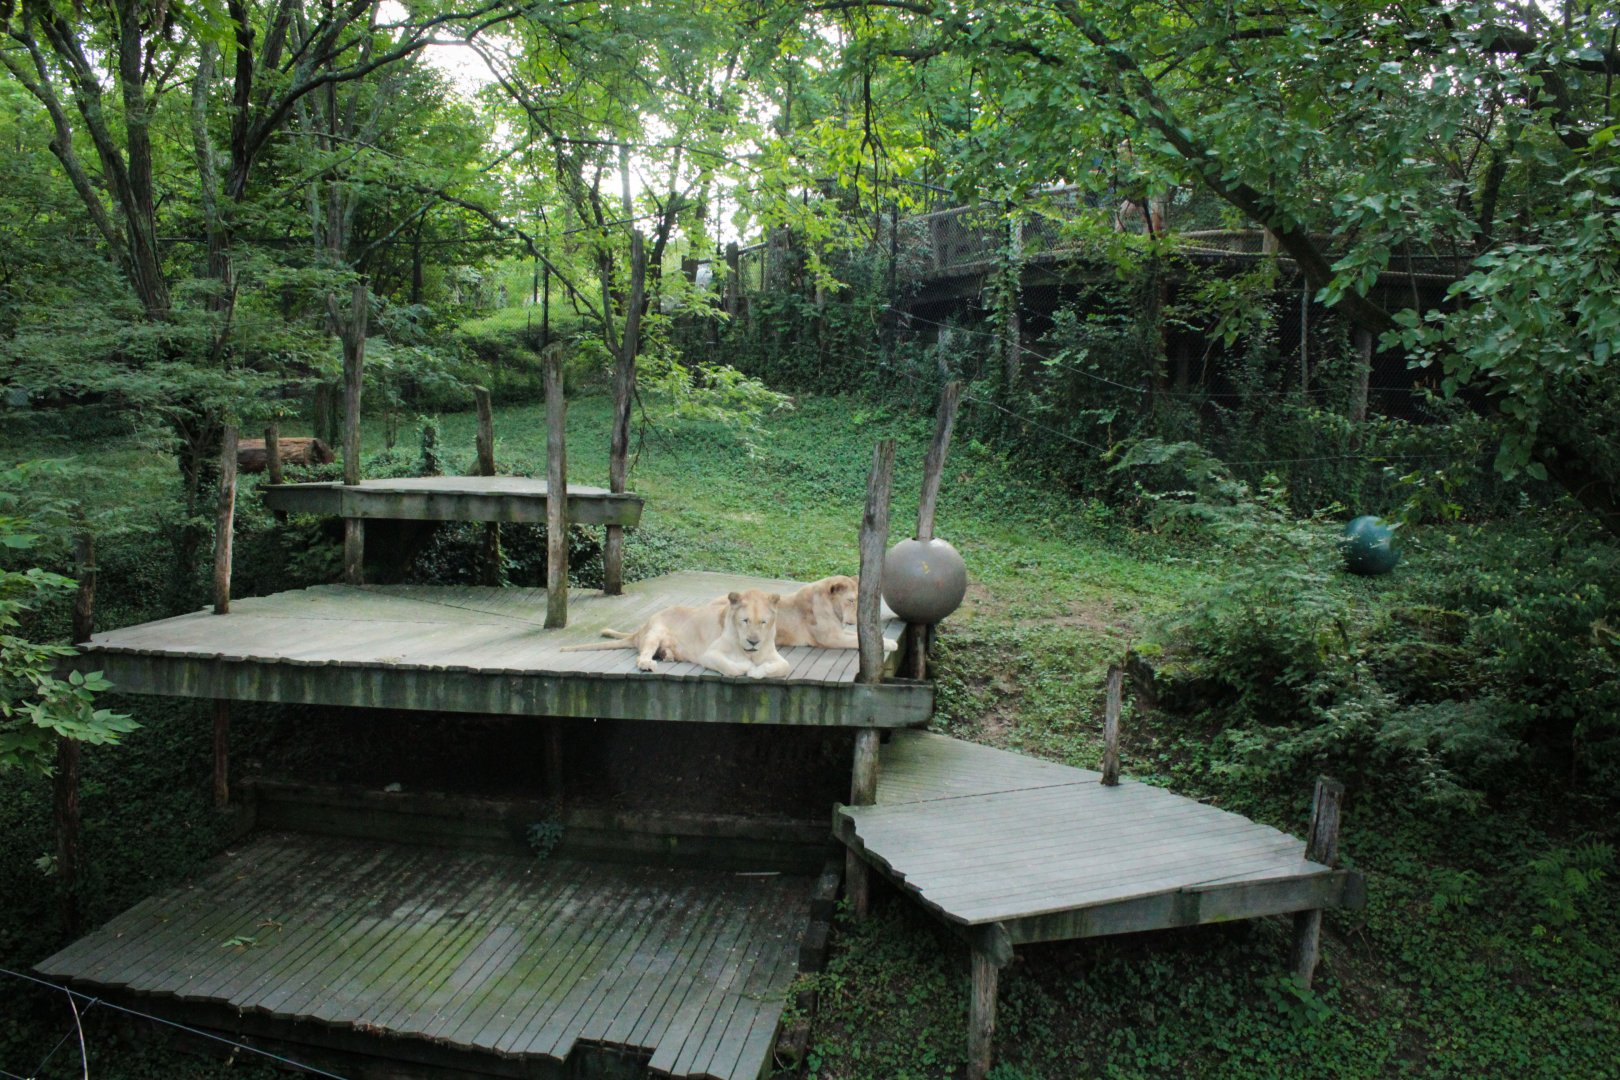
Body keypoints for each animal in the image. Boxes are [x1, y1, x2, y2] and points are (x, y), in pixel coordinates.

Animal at [560, 588, 792, 678]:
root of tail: (641, 628)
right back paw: (649, 664)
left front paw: (758, 671)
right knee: (641, 656)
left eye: (763, 622)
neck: (749, 652)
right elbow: (731, 667)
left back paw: (667, 655)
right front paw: (747, 667)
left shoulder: (773, 655)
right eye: (745, 621)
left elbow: (784, 667)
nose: (753, 641)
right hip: (655, 632)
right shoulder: (708, 654)